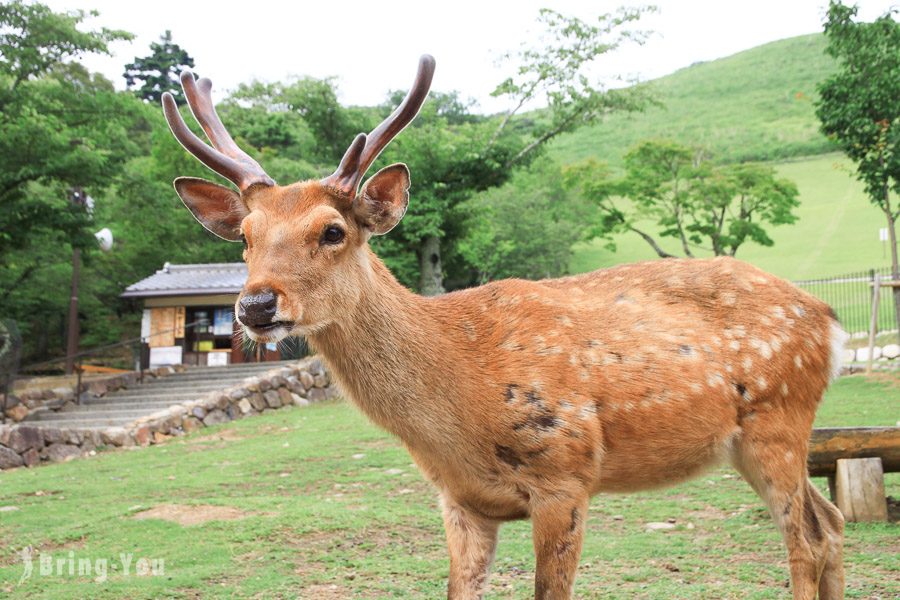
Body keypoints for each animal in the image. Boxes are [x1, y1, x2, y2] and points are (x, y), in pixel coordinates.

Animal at [163, 55, 852, 596]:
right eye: (245, 237)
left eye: (333, 230)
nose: (255, 307)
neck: (457, 407)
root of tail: (829, 319)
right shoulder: (460, 501)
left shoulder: (564, 474)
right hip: (750, 442)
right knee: (833, 524)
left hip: (778, 417)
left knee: (807, 538)